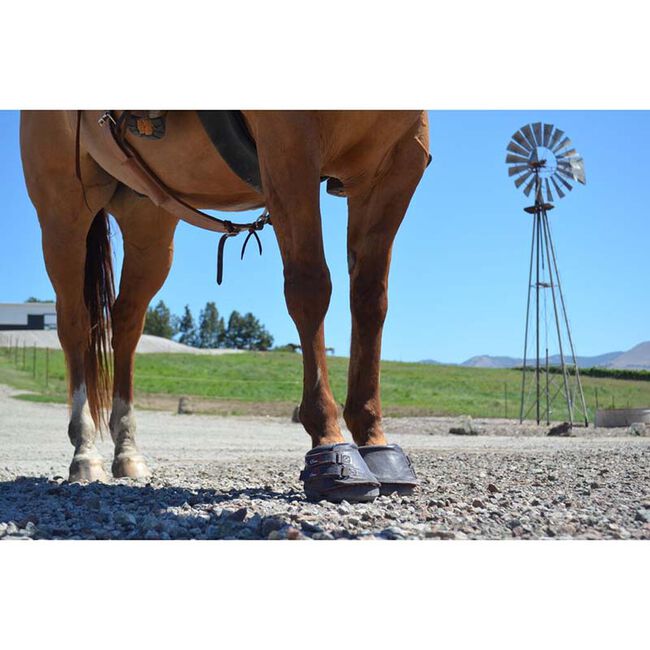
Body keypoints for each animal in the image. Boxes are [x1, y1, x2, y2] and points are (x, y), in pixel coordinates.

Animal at [20, 110, 430, 502]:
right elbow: (310, 287)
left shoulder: (396, 166)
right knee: (75, 324)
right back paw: (85, 453)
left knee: (126, 325)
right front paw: (330, 443)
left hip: (148, 222)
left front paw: (375, 444)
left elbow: (369, 300)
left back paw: (128, 452)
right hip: (64, 213)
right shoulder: (289, 150)